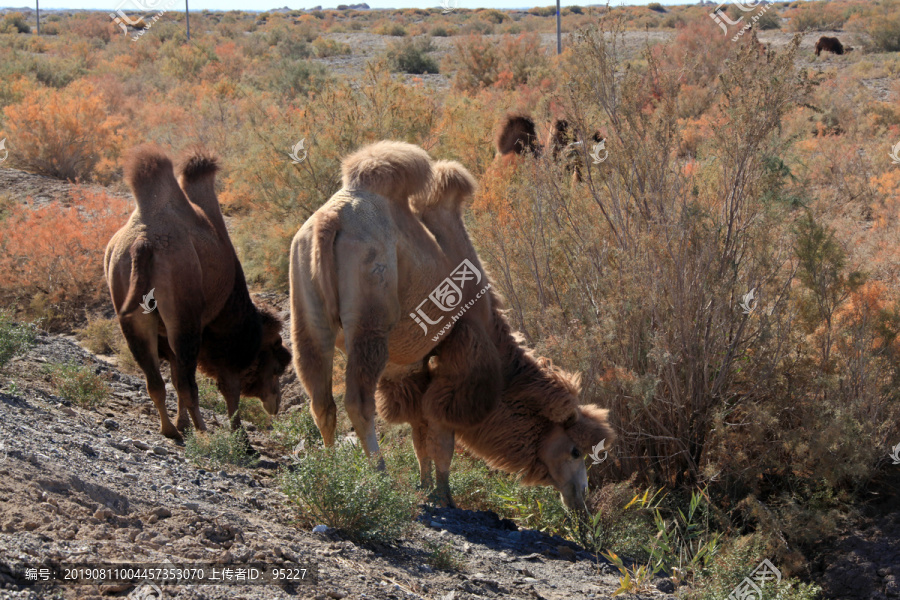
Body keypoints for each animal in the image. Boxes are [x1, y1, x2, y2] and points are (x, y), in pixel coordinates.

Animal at [105, 143, 290, 438]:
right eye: (277, 366)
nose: (276, 403)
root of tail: (143, 243)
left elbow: (174, 374)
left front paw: (182, 424)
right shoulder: (226, 333)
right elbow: (228, 386)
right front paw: (240, 437)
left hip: (131, 309)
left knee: (156, 380)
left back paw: (171, 429)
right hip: (184, 314)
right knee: (187, 383)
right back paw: (203, 430)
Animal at [288, 141, 612, 510]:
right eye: (575, 451)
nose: (581, 498)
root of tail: (331, 218)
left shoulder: (411, 367)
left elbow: (419, 428)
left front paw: (426, 486)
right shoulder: (461, 349)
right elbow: (443, 430)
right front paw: (445, 495)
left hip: (306, 309)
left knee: (321, 398)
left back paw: (330, 472)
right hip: (371, 319)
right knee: (358, 400)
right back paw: (379, 476)